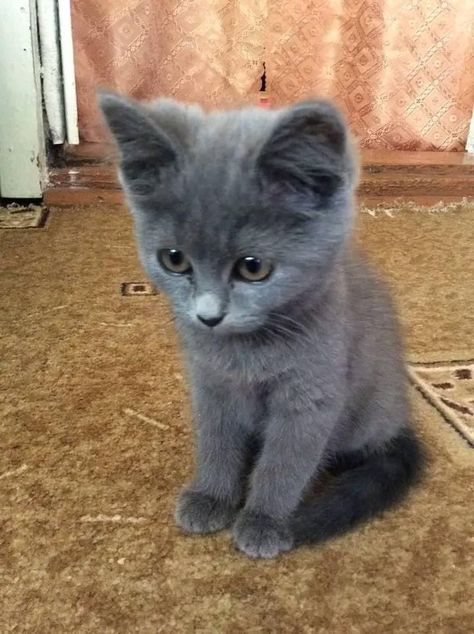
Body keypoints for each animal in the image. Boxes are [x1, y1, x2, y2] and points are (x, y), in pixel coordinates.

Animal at [99, 91, 422, 556]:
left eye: (253, 268)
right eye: (174, 259)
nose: (208, 315)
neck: (245, 351)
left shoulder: (312, 394)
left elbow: (285, 462)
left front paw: (263, 520)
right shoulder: (209, 383)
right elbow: (216, 441)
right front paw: (212, 496)